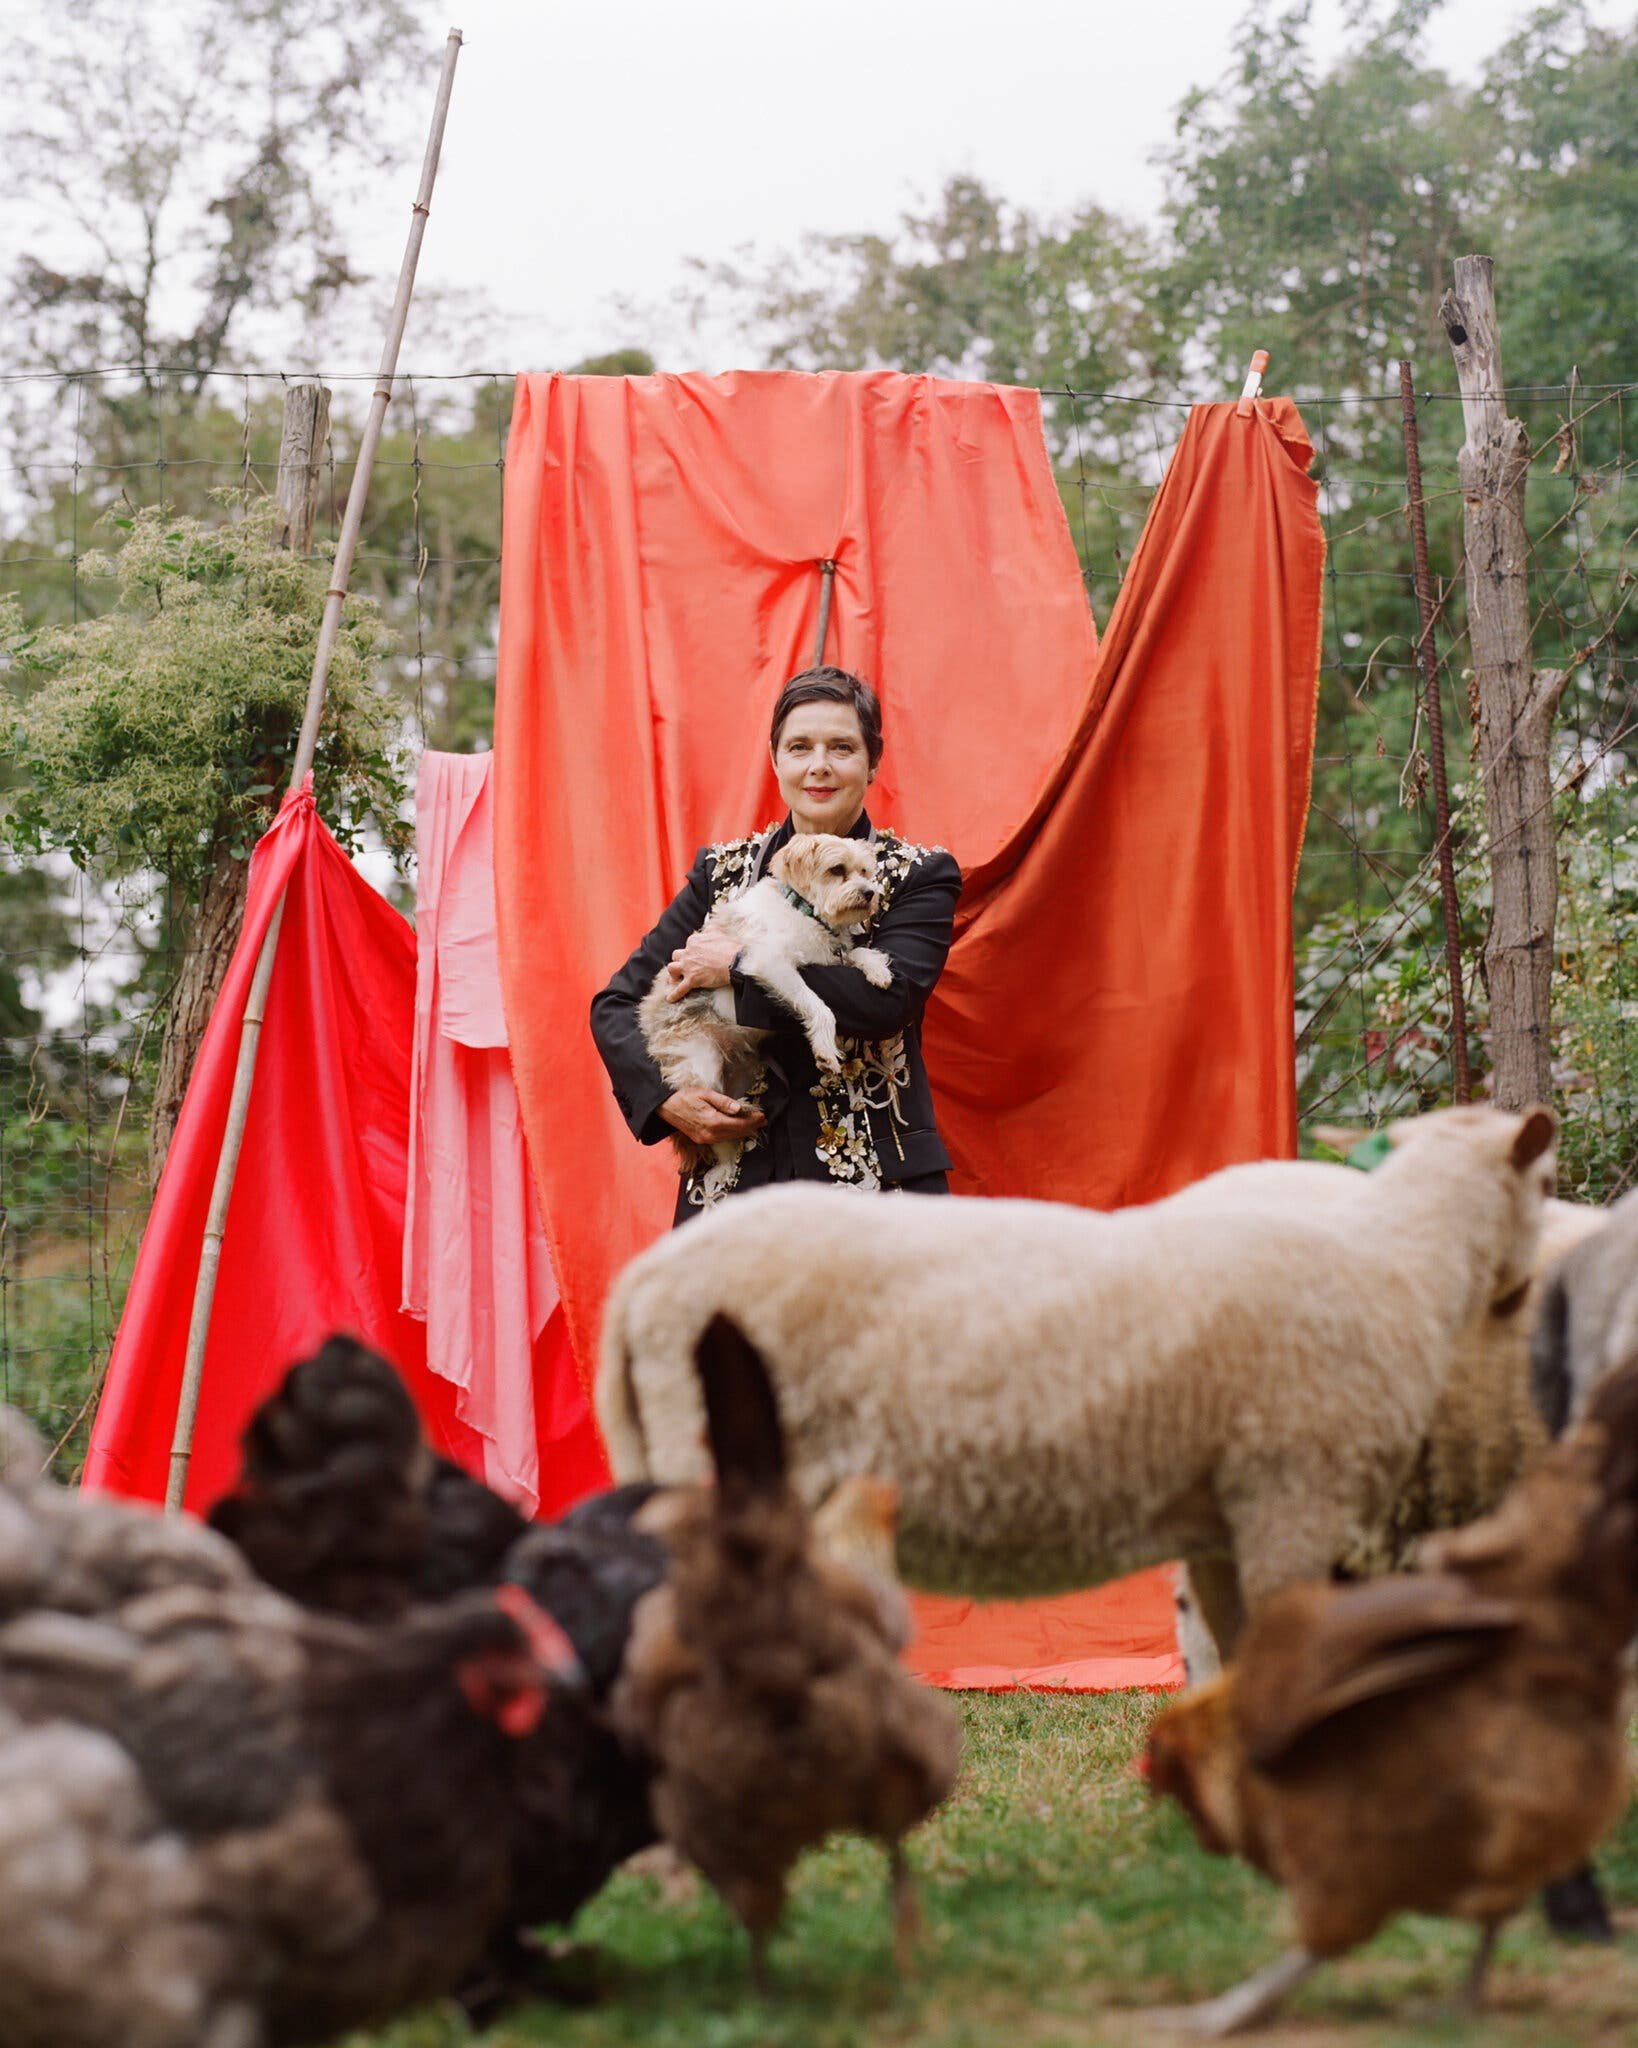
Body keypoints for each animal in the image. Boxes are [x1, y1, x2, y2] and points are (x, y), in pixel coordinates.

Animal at [601, 1105, 1564, 1662]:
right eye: (1545, 1177)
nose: (1528, 1295)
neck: (1403, 1252)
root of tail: (642, 1285)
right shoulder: (1294, 1497)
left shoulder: (1225, 1517)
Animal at [638, 835, 896, 1196]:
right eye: (837, 870)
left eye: (865, 871)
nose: (870, 892)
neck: (805, 912)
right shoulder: (770, 963)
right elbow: (818, 1005)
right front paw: (825, 1049)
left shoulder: (829, 956)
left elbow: (855, 952)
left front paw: (876, 969)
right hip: (700, 1067)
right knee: (711, 1126)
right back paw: (725, 1168)